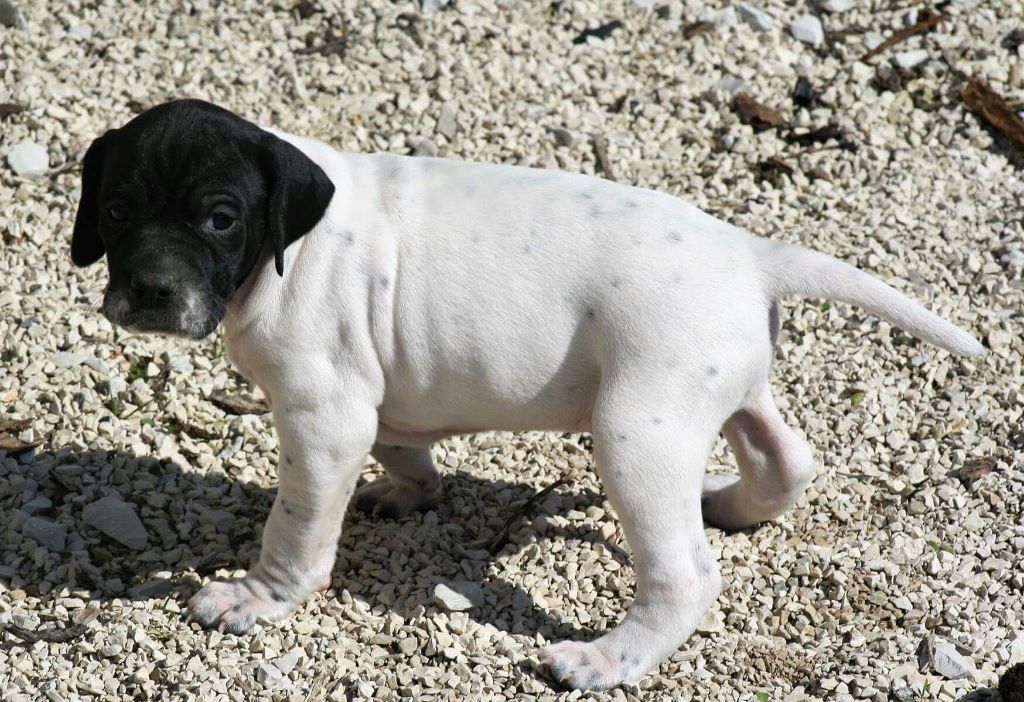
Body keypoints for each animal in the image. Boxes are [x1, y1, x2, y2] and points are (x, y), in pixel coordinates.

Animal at [70, 99, 983, 691]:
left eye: (220, 218)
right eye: (114, 209)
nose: (149, 291)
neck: (281, 250)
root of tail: (754, 255)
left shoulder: (321, 416)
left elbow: (294, 527)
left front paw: (257, 599)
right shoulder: (377, 394)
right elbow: (401, 440)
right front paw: (407, 493)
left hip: (636, 431)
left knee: (685, 574)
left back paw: (605, 660)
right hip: (727, 387)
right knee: (787, 457)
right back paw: (730, 504)